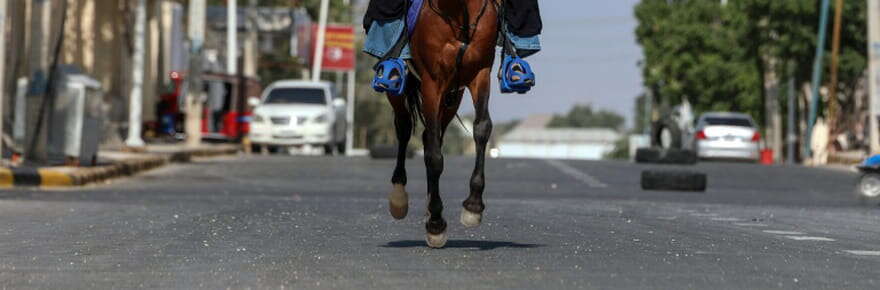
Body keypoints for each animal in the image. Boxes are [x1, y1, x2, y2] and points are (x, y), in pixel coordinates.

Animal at [384, 0, 498, 248]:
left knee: (430, 136)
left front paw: (473, 206)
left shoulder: (479, 73)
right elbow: (435, 157)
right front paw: (436, 224)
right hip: (399, 87)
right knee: (404, 127)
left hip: (453, 97)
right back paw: (399, 198)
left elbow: (482, 127)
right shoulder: (432, 82)